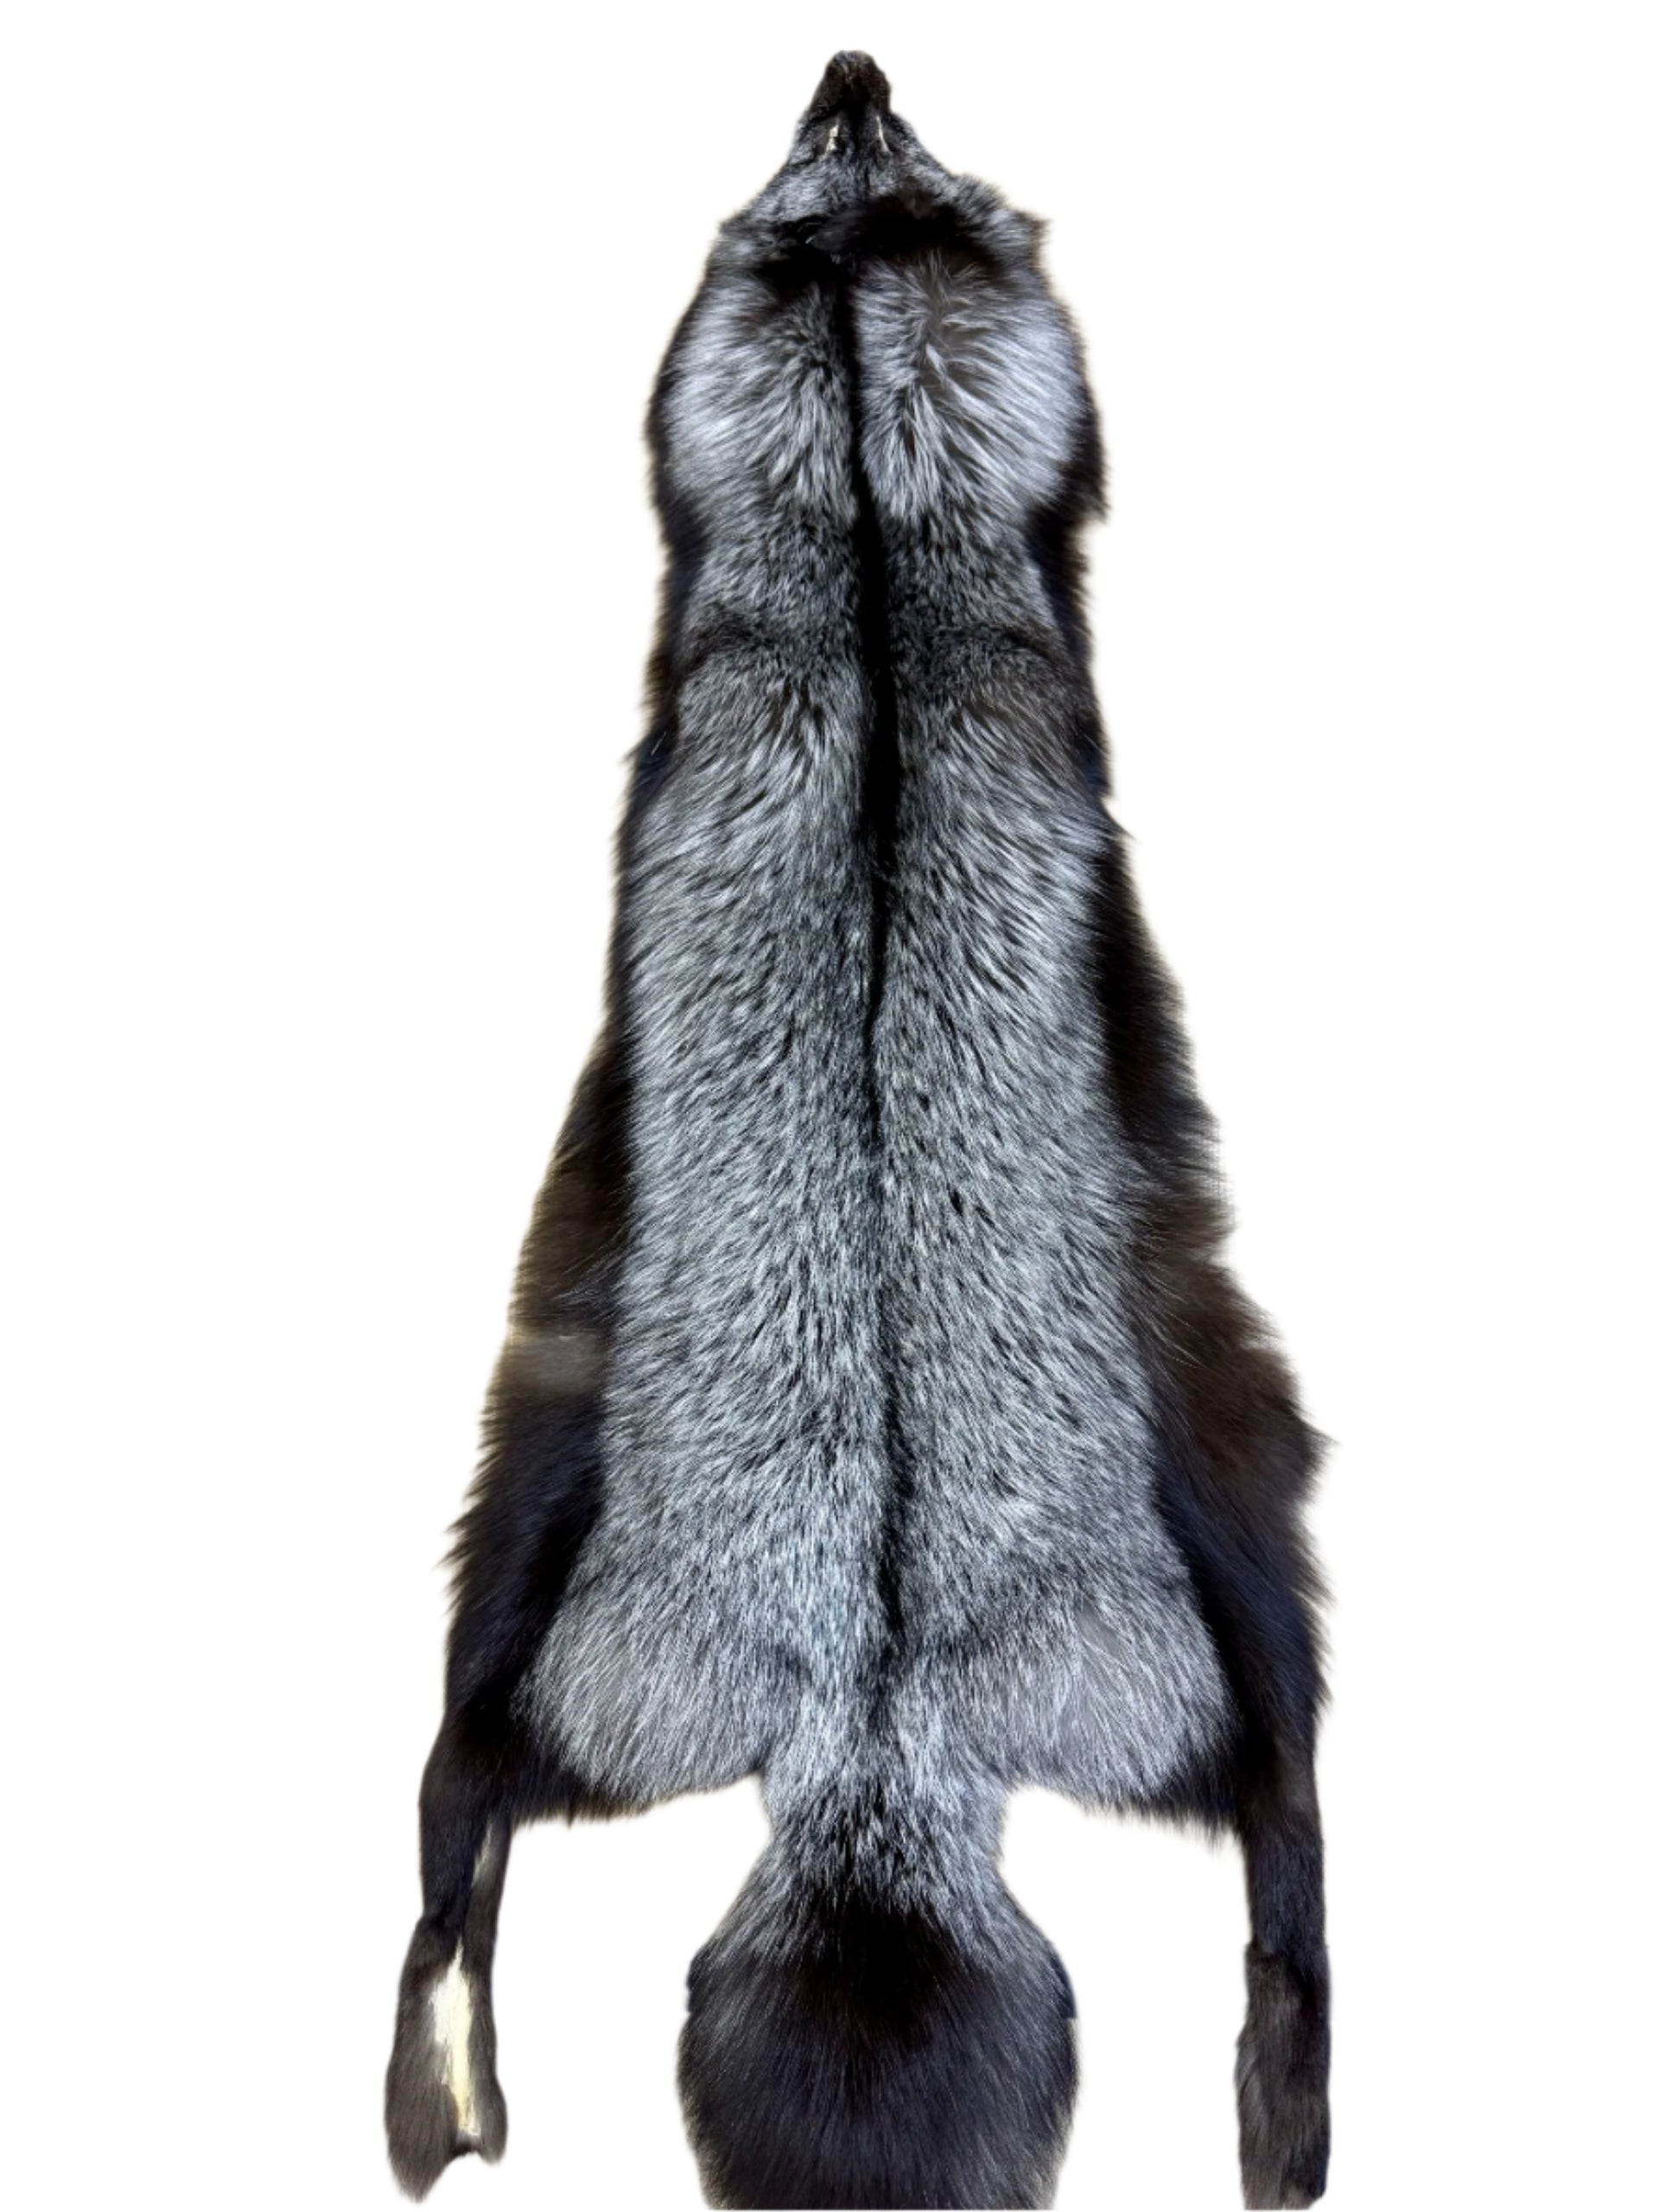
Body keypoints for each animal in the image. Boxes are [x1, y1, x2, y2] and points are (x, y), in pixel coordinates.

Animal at [385, 51, 1331, 2211]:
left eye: (881, 168)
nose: (852, 67)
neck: (884, 581)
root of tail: (877, 1716)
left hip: (562, 1564)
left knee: (461, 1800)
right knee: (1289, 1808)